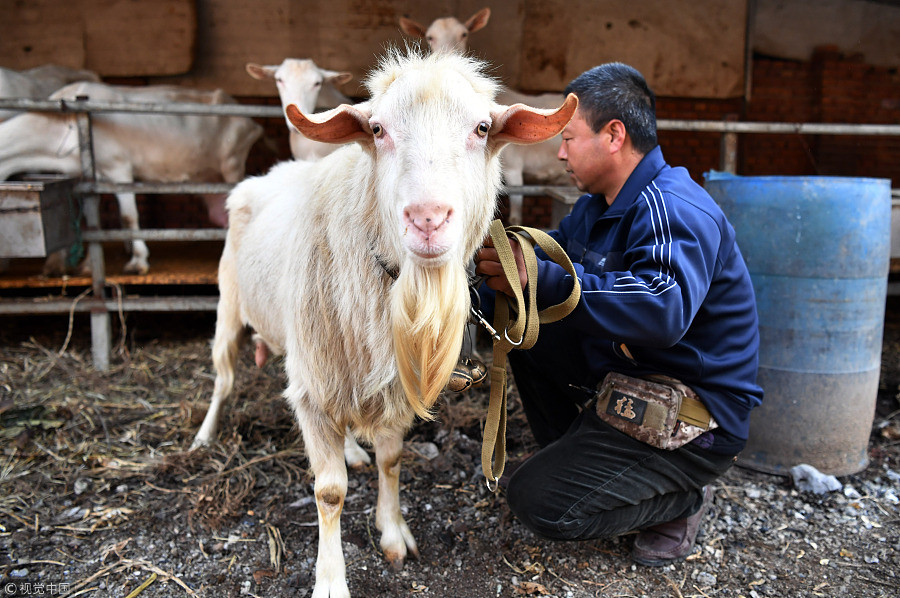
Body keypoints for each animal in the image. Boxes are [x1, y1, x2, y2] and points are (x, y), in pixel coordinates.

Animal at [0, 81, 262, 274]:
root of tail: (251, 122)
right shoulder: (85, 176)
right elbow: (88, 220)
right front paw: (85, 265)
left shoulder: (119, 169)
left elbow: (128, 217)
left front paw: (138, 261)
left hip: (232, 162)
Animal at [192, 49, 576, 596]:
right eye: (377, 129)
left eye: (482, 128)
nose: (428, 218)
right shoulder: (312, 386)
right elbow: (329, 492)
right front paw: (331, 580)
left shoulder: (388, 380)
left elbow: (392, 460)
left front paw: (393, 533)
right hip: (230, 308)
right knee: (223, 379)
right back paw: (204, 436)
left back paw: (353, 449)